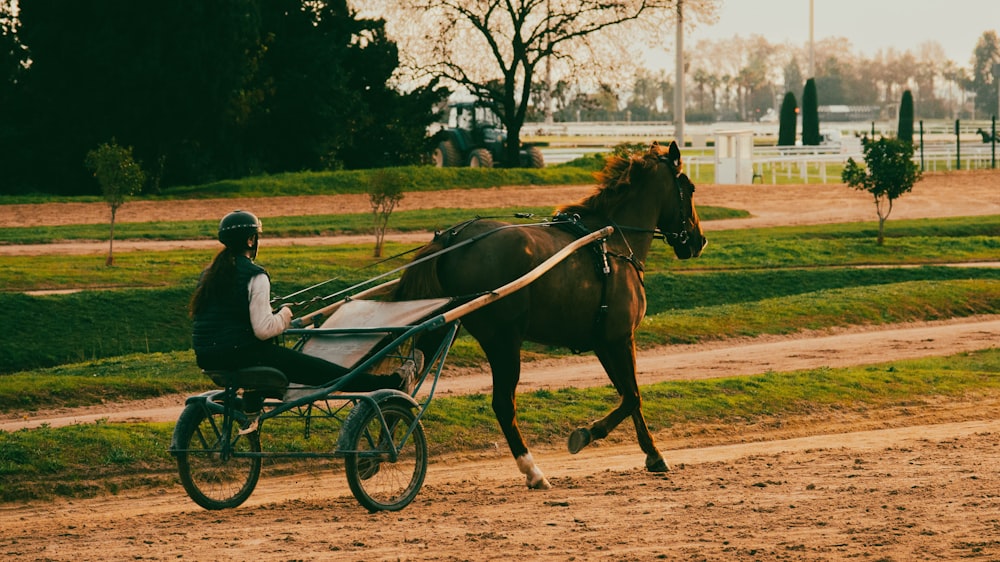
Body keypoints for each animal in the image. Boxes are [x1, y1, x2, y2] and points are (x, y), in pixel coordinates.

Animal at [394, 139, 708, 486]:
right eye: (690, 188)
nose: (699, 240)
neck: (611, 241)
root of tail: (453, 238)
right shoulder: (621, 337)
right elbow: (633, 396)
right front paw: (590, 434)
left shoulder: (604, 342)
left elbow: (628, 394)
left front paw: (651, 453)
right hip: (503, 340)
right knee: (503, 404)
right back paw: (532, 471)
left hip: (439, 328)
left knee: (402, 382)